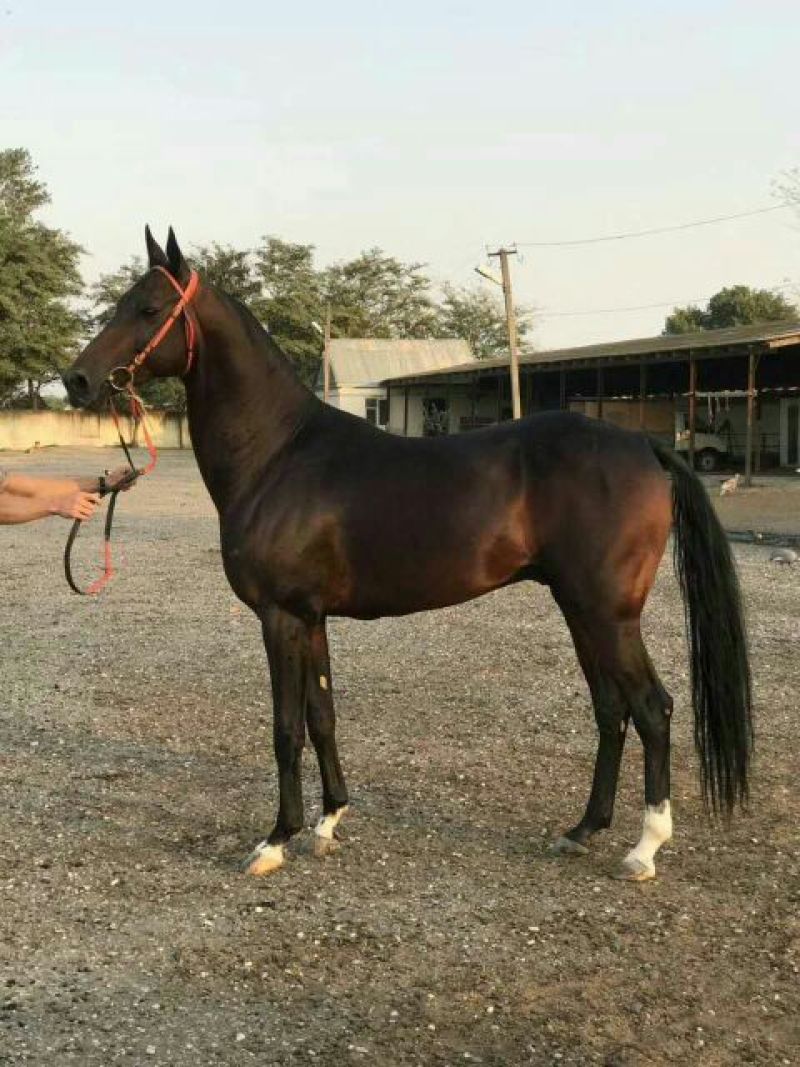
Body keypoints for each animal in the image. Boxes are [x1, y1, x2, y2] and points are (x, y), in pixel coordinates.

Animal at [64, 227, 753, 882]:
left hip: (608, 614)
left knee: (653, 709)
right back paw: (581, 830)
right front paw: (328, 823)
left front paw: (275, 840)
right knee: (611, 710)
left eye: (149, 308)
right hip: (579, 609)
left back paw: (644, 850)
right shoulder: (310, 617)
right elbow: (322, 715)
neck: (279, 453)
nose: (77, 380)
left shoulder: (280, 617)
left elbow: (286, 728)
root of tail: (644, 447)